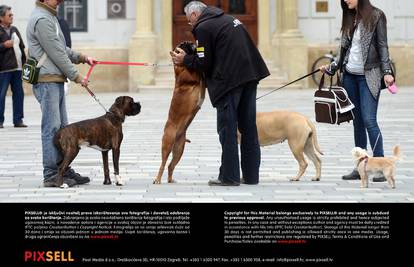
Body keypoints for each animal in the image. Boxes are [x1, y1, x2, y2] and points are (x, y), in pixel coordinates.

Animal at [153, 42, 206, 185]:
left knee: (171, 165)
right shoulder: (193, 75)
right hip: (167, 144)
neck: (180, 65)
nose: (191, 42)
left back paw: (170, 179)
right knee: (163, 163)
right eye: (184, 45)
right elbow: (199, 72)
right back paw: (157, 179)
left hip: (179, 150)